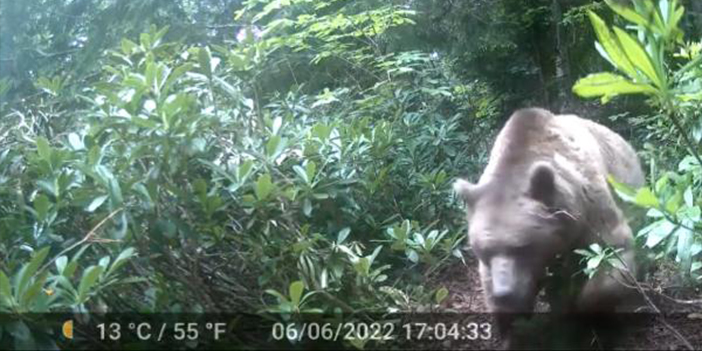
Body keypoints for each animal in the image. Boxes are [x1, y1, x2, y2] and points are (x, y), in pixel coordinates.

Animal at [454, 108, 648, 346]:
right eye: (483, 251)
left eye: (521, 247)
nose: (505, 293)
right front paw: (510, 325)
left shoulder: (591, 207)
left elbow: (612, 250)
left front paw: (584, 313)